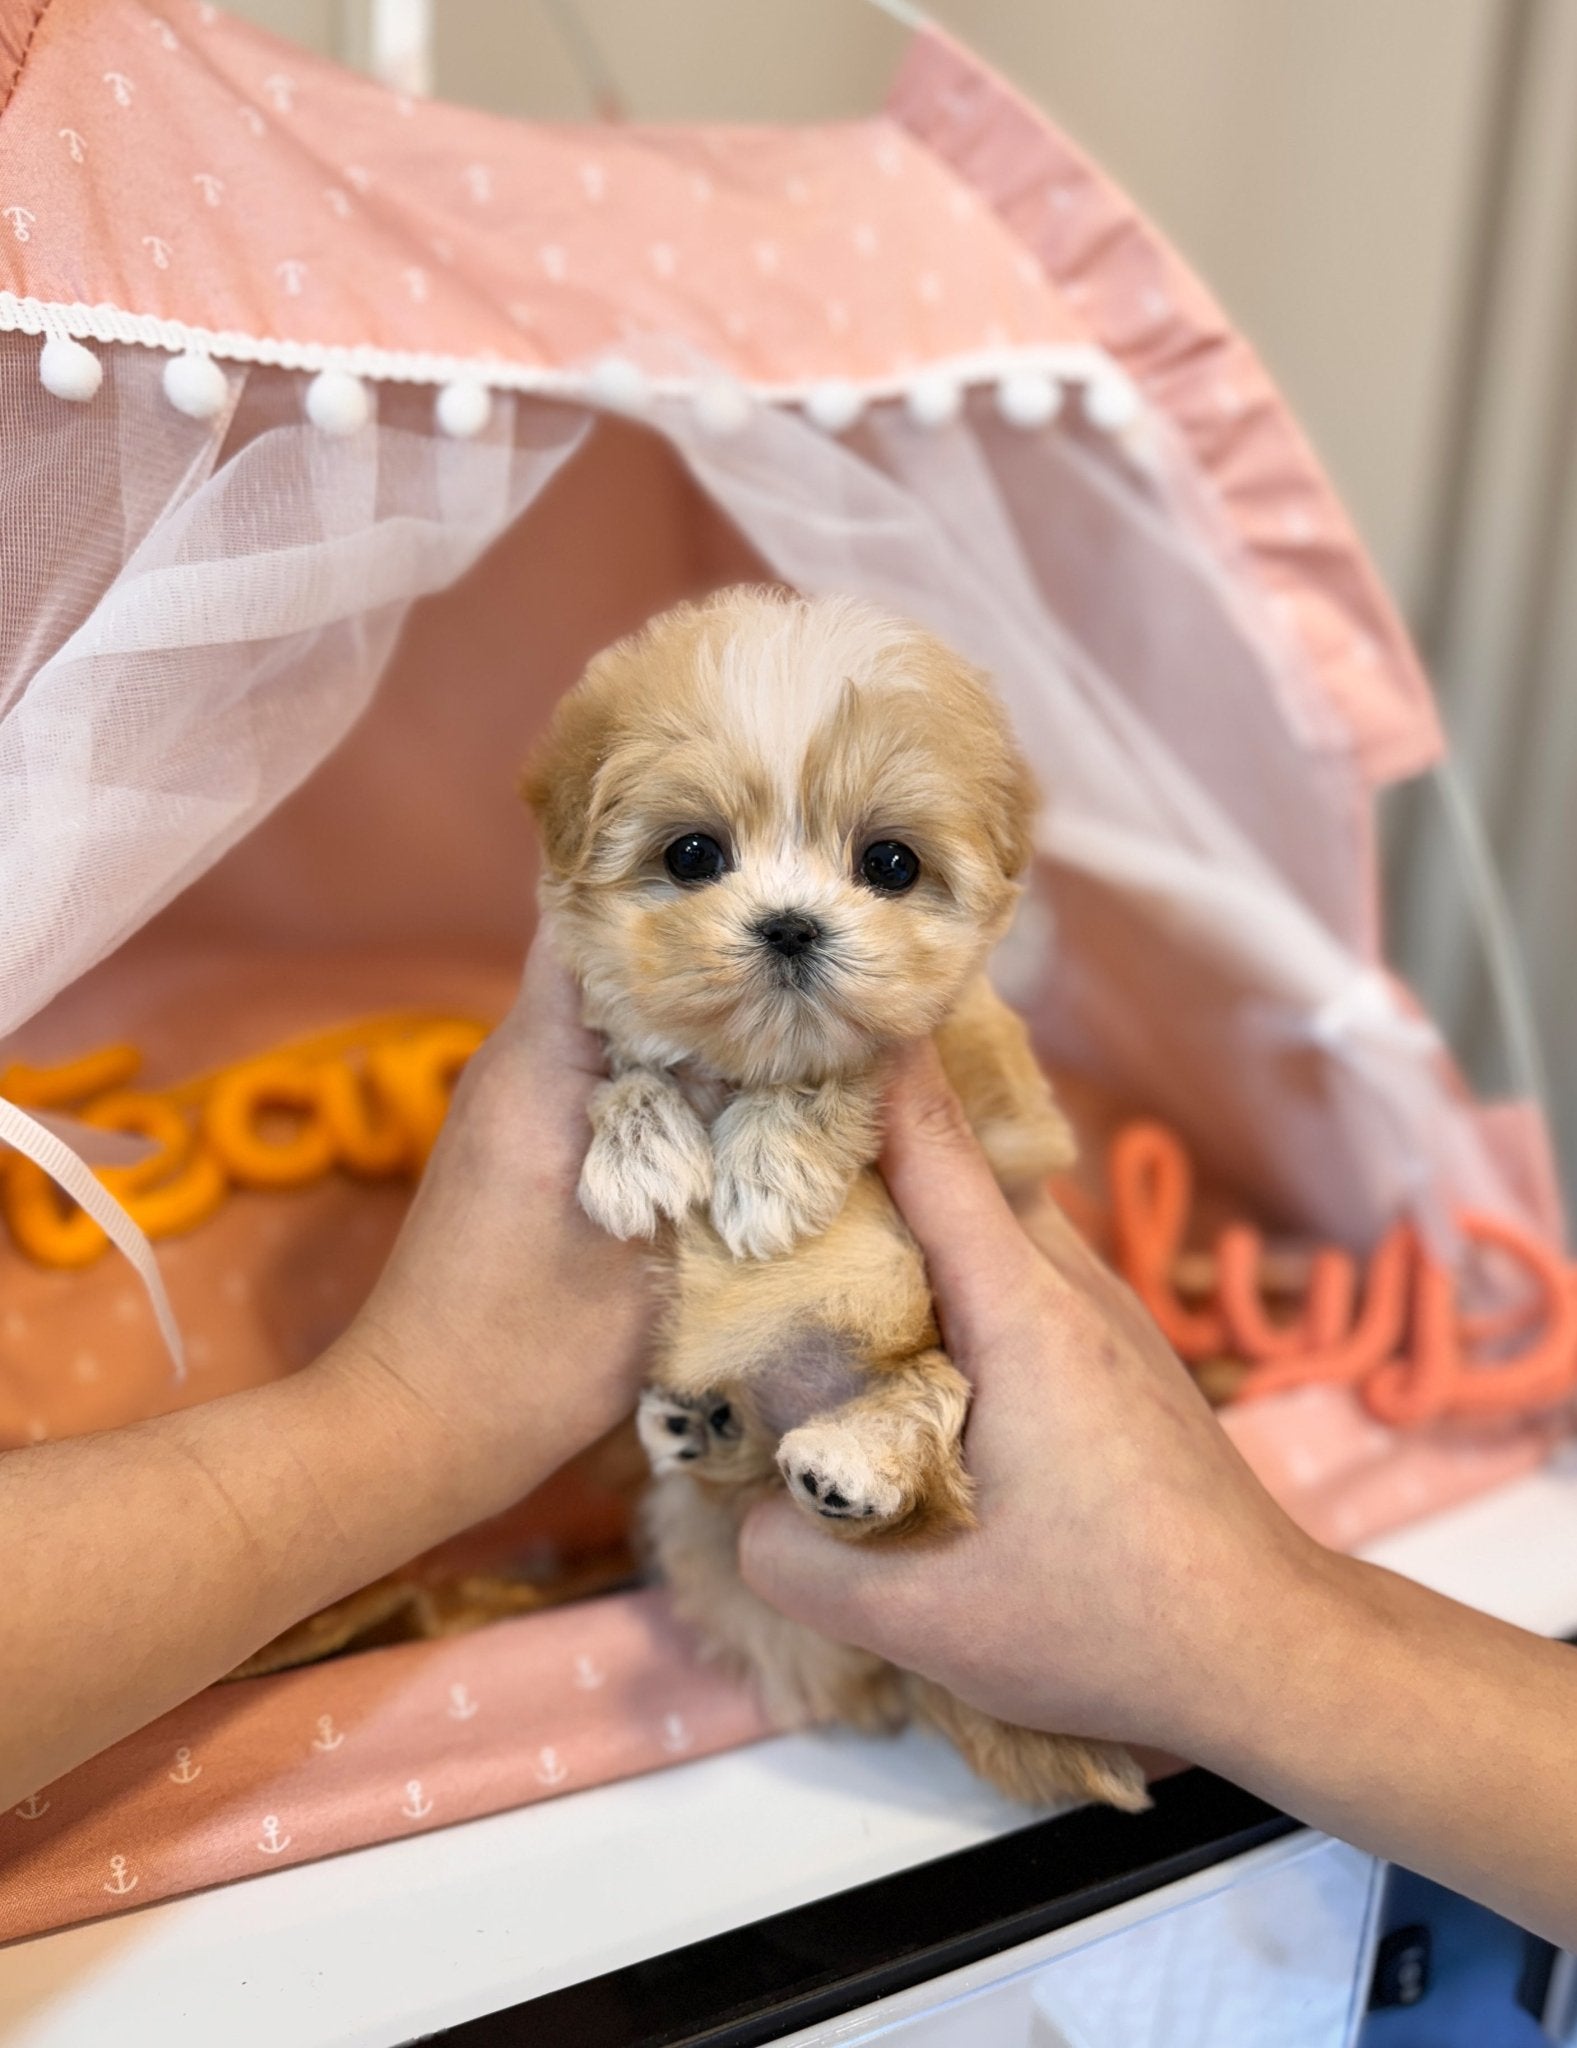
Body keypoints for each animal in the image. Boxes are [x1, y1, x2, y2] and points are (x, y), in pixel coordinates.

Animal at [524, 589, 1146, 1810]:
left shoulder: (993, 1117)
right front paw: (640, 1146)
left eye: (889, 864)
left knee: (929, 1412)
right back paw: (701, 1424)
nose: (789, 924)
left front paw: (766, 1166)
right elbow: (632, 1060)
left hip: (927, 1351)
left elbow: (853, 1065)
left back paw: (853, 1462)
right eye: (693, 853)